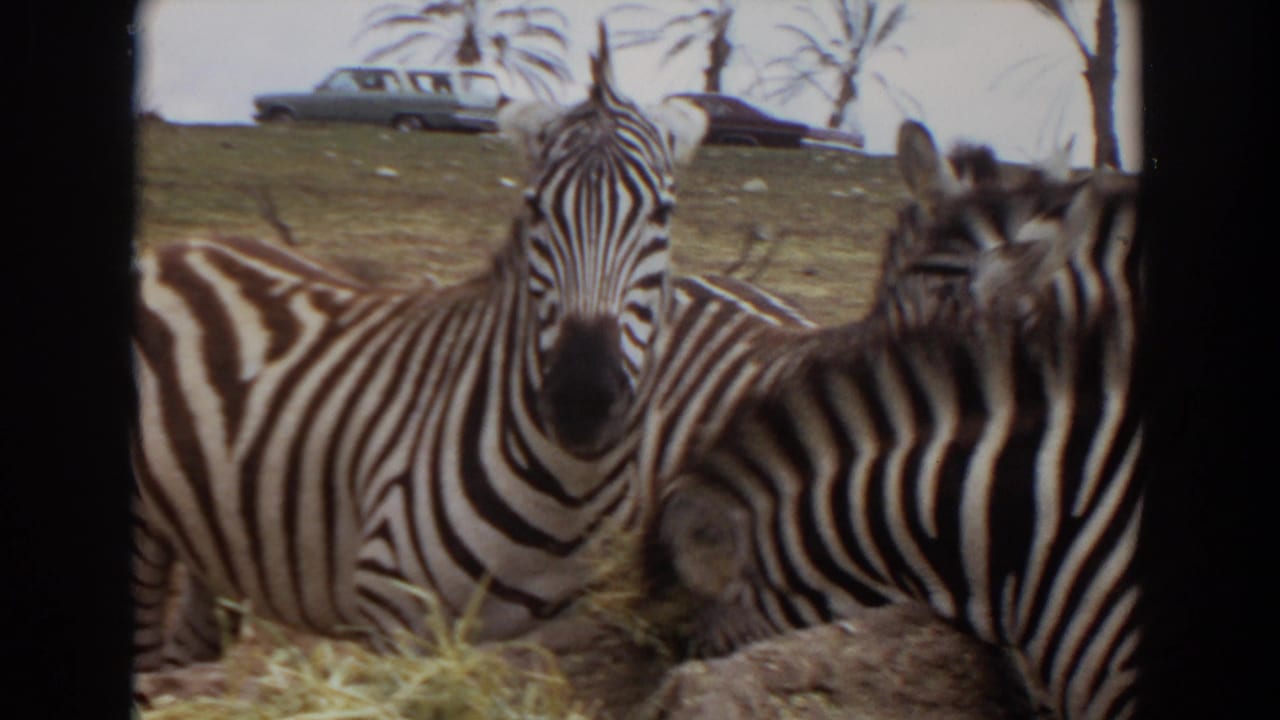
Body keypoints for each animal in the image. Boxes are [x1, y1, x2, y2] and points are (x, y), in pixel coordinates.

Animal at [130, 25, 813, 672]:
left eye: (662, 215)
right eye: (535, 210)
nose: (582, 401)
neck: (567, 496)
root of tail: (181, 245)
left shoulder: (552, 638)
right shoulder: (399, 625)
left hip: (212, 539)